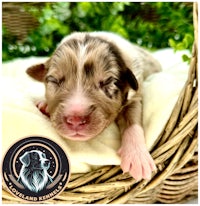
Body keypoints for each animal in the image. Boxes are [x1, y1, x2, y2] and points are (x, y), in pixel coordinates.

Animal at [26, 31, 161, 181]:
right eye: (54, 81)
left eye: (107, 82)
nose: (75, 120)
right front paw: (44, 104)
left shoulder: (136, 95)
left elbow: (133, 121)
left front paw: (137, 157)